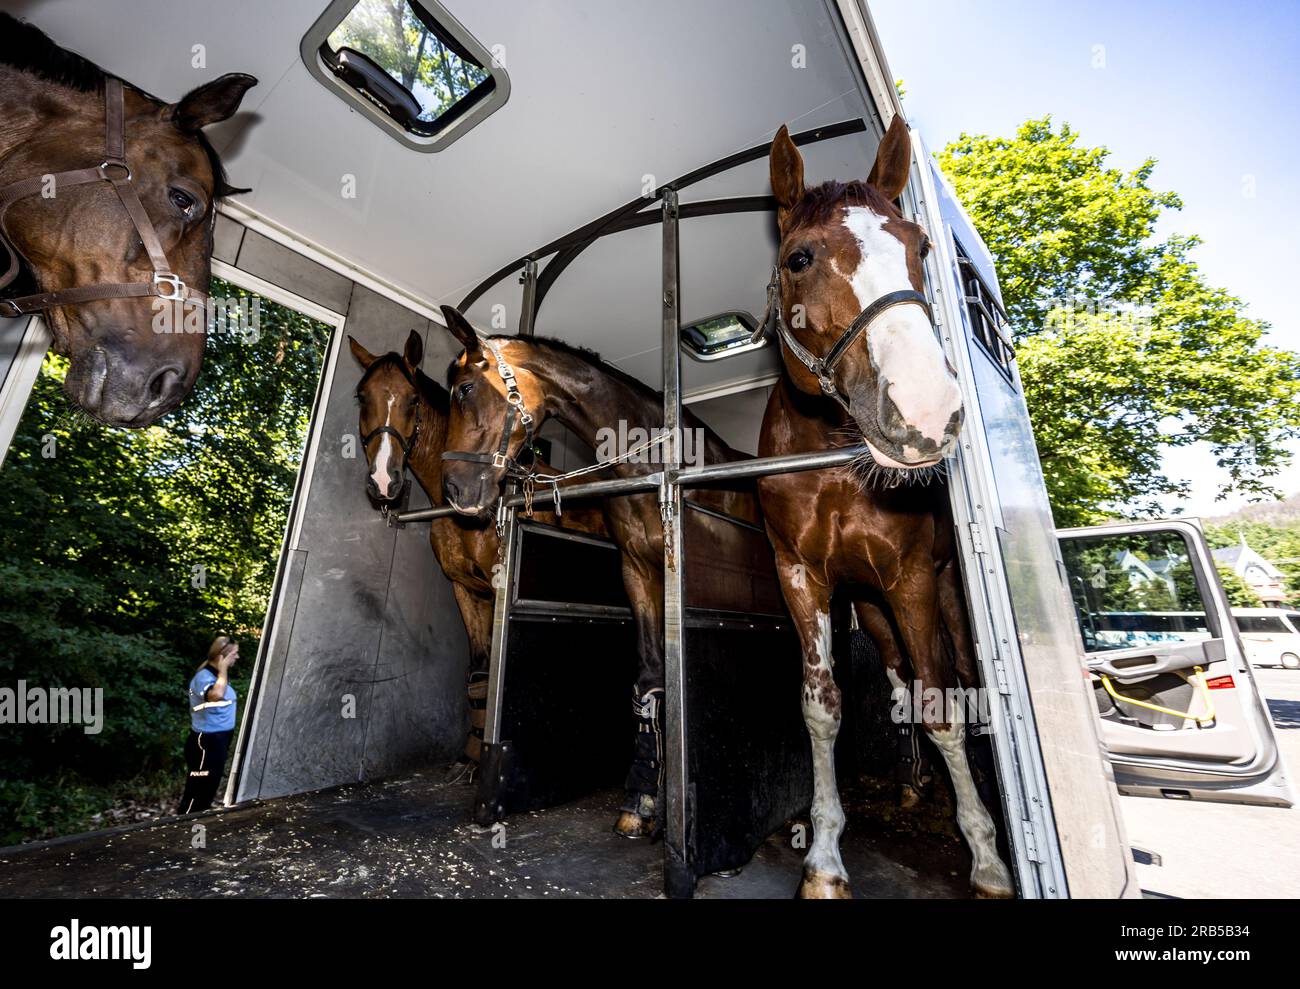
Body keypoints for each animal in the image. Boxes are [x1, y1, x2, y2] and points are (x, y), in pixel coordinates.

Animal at [348, 331, 605, 779]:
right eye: (363, 397)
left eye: (412, 399)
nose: (382, 479)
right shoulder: (466, 590)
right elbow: (479, 670)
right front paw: (470, 756)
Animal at [439, 310, 759, 842]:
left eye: (465, 389)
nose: (455, 490)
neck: (651, 462)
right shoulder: (637, 571)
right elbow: (649, 677)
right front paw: (644, 798)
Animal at [759, 113, 1013, 894]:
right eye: (800, 257)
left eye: (921, 248)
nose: (926, 410)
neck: (833, 457)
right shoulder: (804, 578)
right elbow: (822, 707)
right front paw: (824, 856)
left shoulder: (911, 579)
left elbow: (942, 706)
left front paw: (987, 855)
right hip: (872, 606)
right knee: (901, 678)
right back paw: (909, 783)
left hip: (943, 595)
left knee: (956, 682)